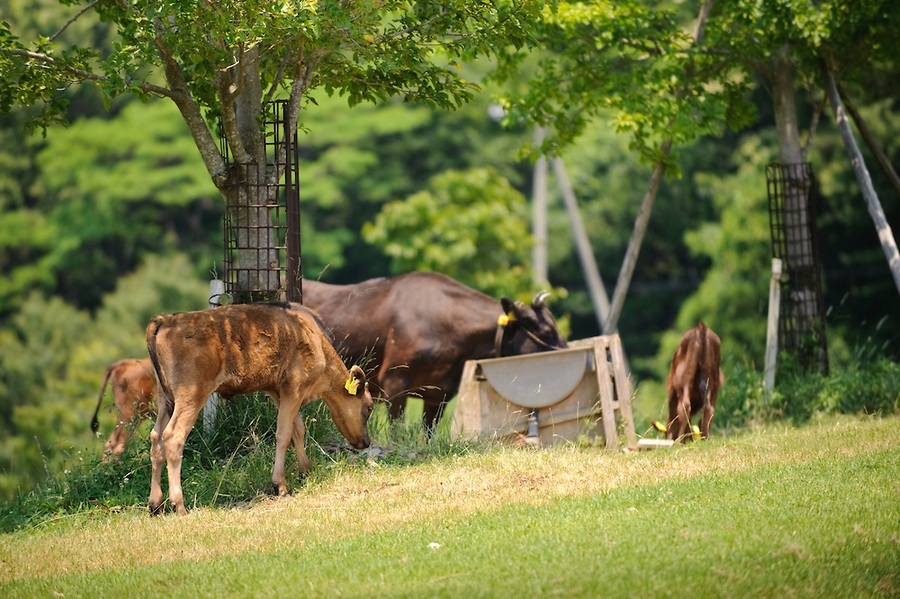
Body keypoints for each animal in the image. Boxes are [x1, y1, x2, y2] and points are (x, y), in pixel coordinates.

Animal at [148, 304, 372, 516]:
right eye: (369, 407)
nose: (366, 442)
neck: (316, 340)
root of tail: (166, 320)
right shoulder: (294, 388)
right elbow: (284, 434)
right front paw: (280, 486)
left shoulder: (278, 392)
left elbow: (298, 428)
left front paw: (305, 471)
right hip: (191, 395)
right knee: (173, 437)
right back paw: (179, 506)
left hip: (165, 399)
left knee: (156, 437)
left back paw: (155, 505)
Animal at [302, 272, 568, 432]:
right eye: (546, 331)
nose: (567, 351)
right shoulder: (395, 384)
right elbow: (397, 431)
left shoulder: (439, 394)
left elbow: (428, 433)